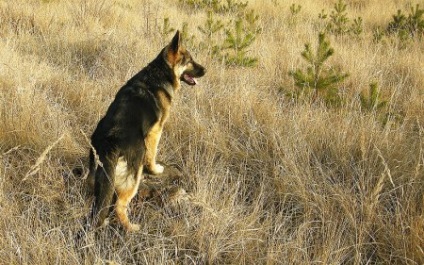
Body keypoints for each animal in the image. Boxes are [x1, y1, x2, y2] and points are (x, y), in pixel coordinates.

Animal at [87, 29, 205, 230]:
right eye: (189, 61)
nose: (206, 70)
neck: (159, 73)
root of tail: (110, 142)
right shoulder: (156, 131)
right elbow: (153, 154)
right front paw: (156, 169)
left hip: (96, 171)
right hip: (134, 172)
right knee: (119, 205)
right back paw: (131, 227)